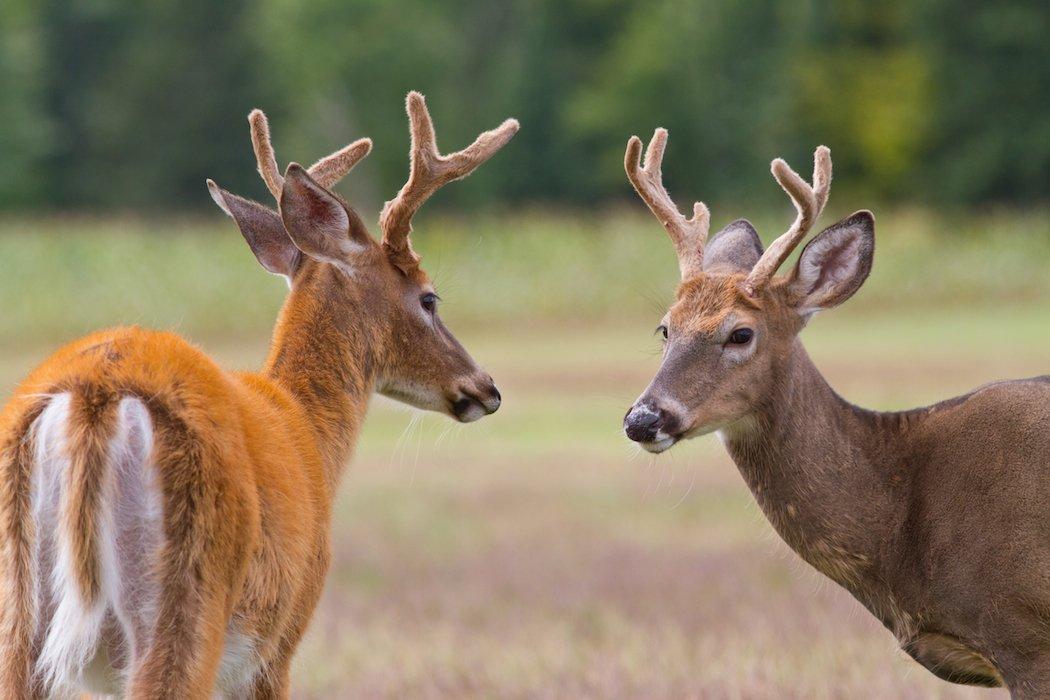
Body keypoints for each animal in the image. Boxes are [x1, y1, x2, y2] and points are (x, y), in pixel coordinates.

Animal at [0, 91, 516, 696]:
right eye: (429, 298)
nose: (486, 387)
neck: (310, 431)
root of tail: (95, 394)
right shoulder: (280, 640)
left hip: (20, 612)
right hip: (187, 596)